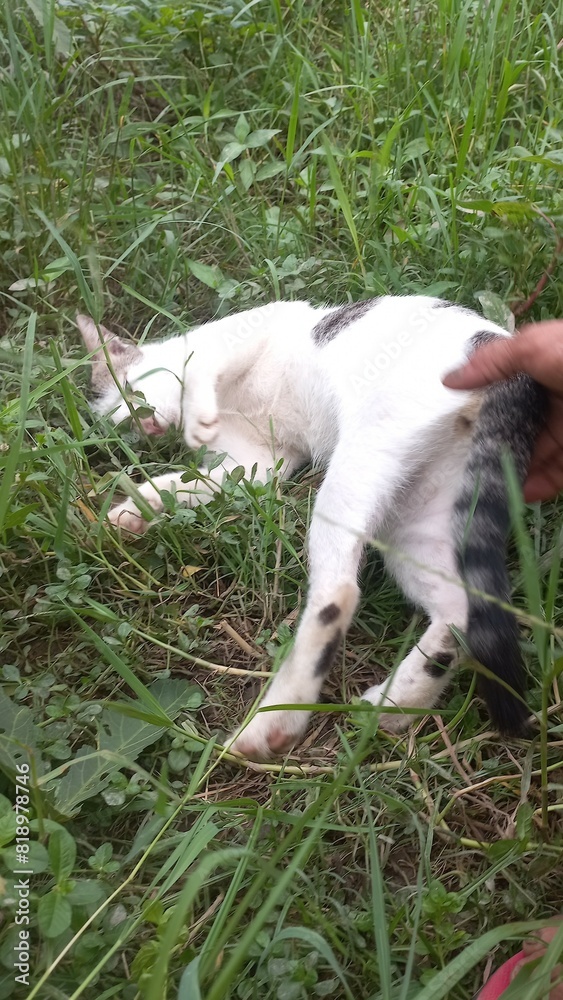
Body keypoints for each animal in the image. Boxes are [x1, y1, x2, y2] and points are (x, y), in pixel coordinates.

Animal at [77, 296, 547, 761]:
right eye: (125, 424)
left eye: (134, 393)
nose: (149, 425)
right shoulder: (255, 464)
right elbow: (190, 483)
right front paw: (135, 509)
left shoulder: (254, 328)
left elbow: (201, 368)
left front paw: (196, 416)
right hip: (418, 520)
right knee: (458, 608)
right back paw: (395, 703)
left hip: (363, 457)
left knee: (338, 593)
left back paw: (273, 722)